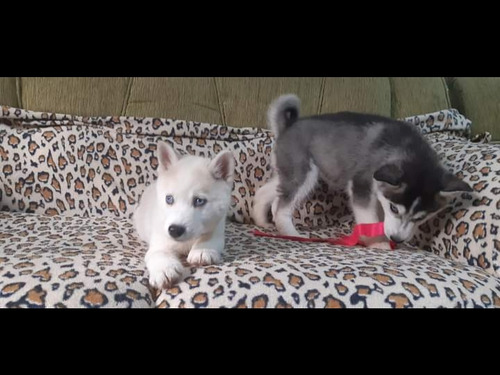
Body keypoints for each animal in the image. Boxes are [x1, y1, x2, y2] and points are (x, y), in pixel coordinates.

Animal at [133, 142, 234, 290]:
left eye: (199, 201)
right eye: (169, 199)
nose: (175, 230)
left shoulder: (217, 227)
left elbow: (209, 237)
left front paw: (202, 251)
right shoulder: (160, 238)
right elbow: (158, 253)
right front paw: (164, 269)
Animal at [254, 93, 472, 250]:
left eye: (421, 217)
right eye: (395, 209)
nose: (397, 239)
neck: (407, 149)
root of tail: (288, 126)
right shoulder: (361, 186)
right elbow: (369, 219)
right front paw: (379, 243)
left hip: (288, 171)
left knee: (265, 192)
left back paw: (261, 221)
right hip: (304, 172)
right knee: (281, 208)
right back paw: (291, 233)